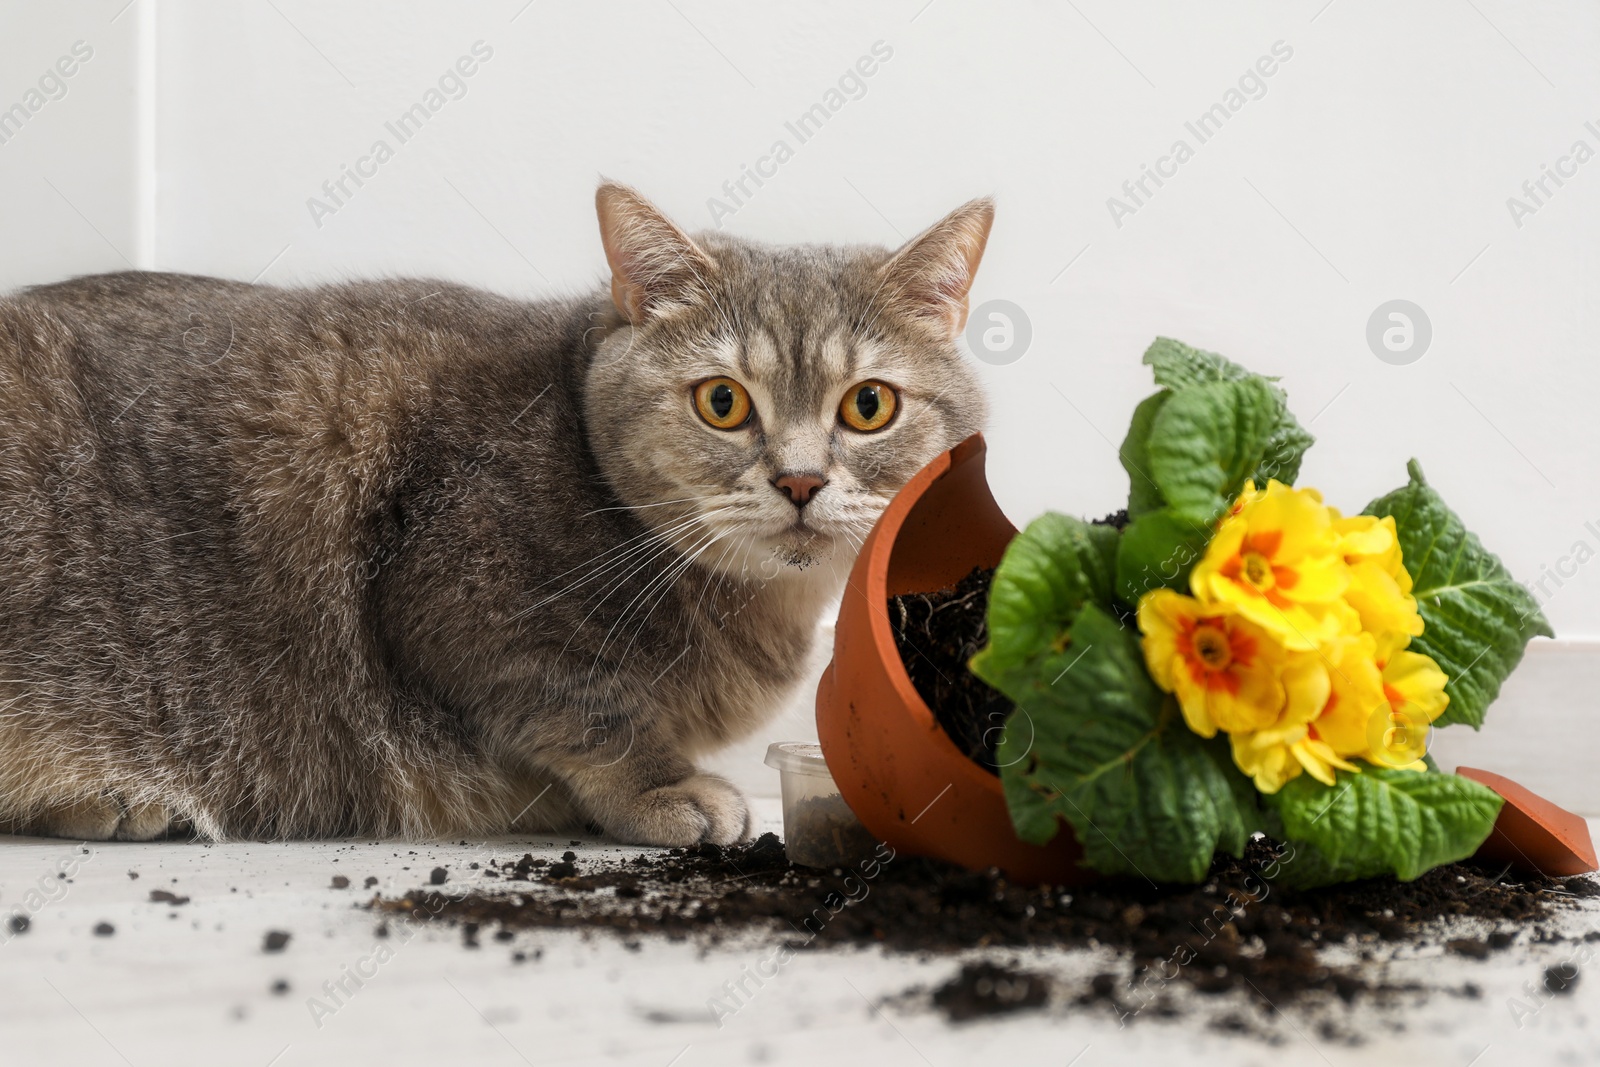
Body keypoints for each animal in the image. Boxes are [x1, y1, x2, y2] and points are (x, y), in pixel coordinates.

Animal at [0, 183, 992, 844]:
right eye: (722, 401)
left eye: (868, 405)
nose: (799, 480)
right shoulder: (461, 599)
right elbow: (588, 707)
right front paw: (660, 788)